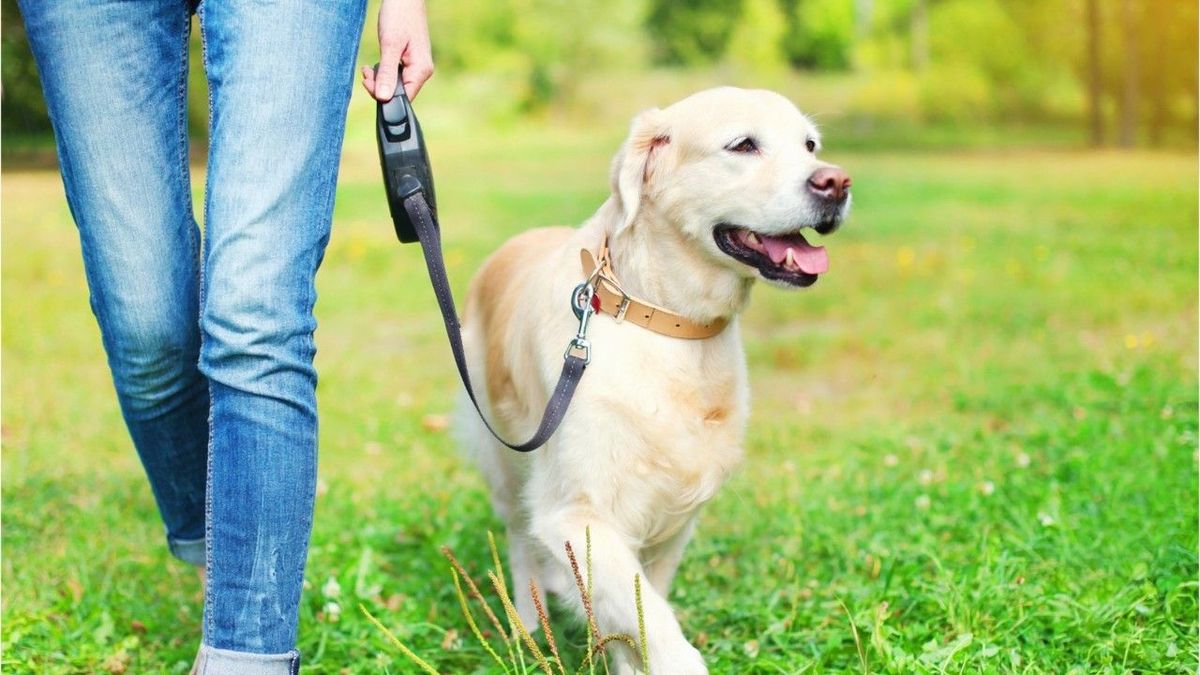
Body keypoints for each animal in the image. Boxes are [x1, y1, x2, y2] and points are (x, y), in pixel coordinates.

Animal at [453, 86, 849, 667]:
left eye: (810, 145)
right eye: (743, 145)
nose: (836, 182)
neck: (666, 321)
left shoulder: (672, 523)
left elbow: (635, 621)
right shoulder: (576, 514)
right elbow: (656, 628)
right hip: (505, 460)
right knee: (520, 541)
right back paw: (527, 630)